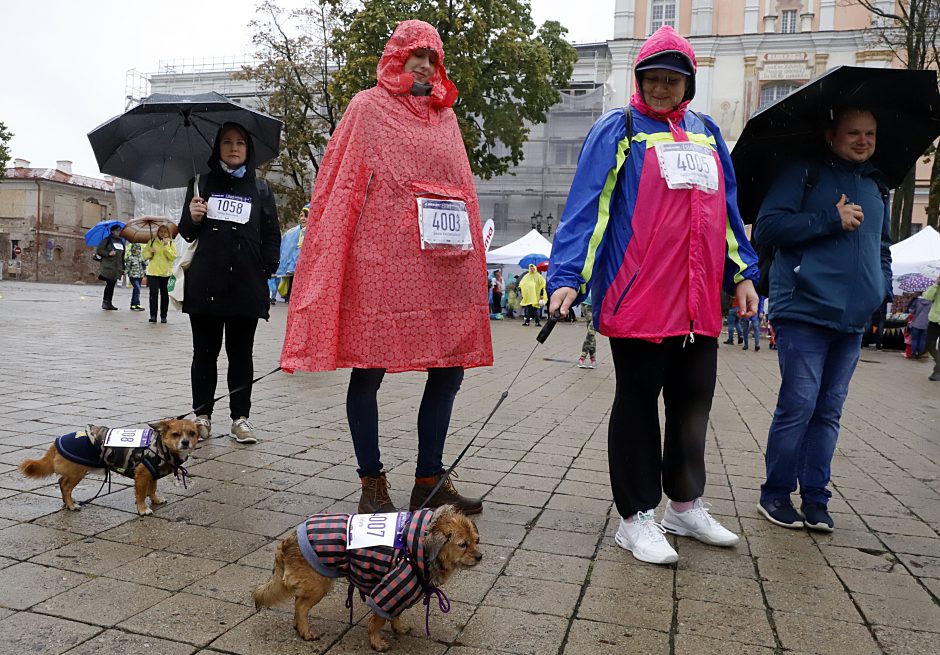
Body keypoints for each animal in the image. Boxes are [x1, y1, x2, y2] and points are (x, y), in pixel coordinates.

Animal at [18, 420, 202, 516]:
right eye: (175, 434)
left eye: (192, 433)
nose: (185, 442)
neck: (160, 446)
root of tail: (56, 442)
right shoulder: (142, 475)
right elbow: (141, 494)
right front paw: (143, 509)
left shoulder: (152, 474)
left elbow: (152, 489)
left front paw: (156, 500)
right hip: (77, 472)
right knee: (64, 485)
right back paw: (71, 505)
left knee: (62, 482)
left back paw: (68, 502)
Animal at [253, 508, 482, 652]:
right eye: (462, 544)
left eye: (476, 541)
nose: (480, 556)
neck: (418, 546)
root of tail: (287, 540)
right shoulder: (390, 589)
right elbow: (377, 620)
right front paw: (376, 642)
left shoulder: (400, 592)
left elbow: (395, 614)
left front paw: (398, 628)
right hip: (319, 585)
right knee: (300, 606)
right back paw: (306, 631)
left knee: (297, 602)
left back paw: (298, 627)